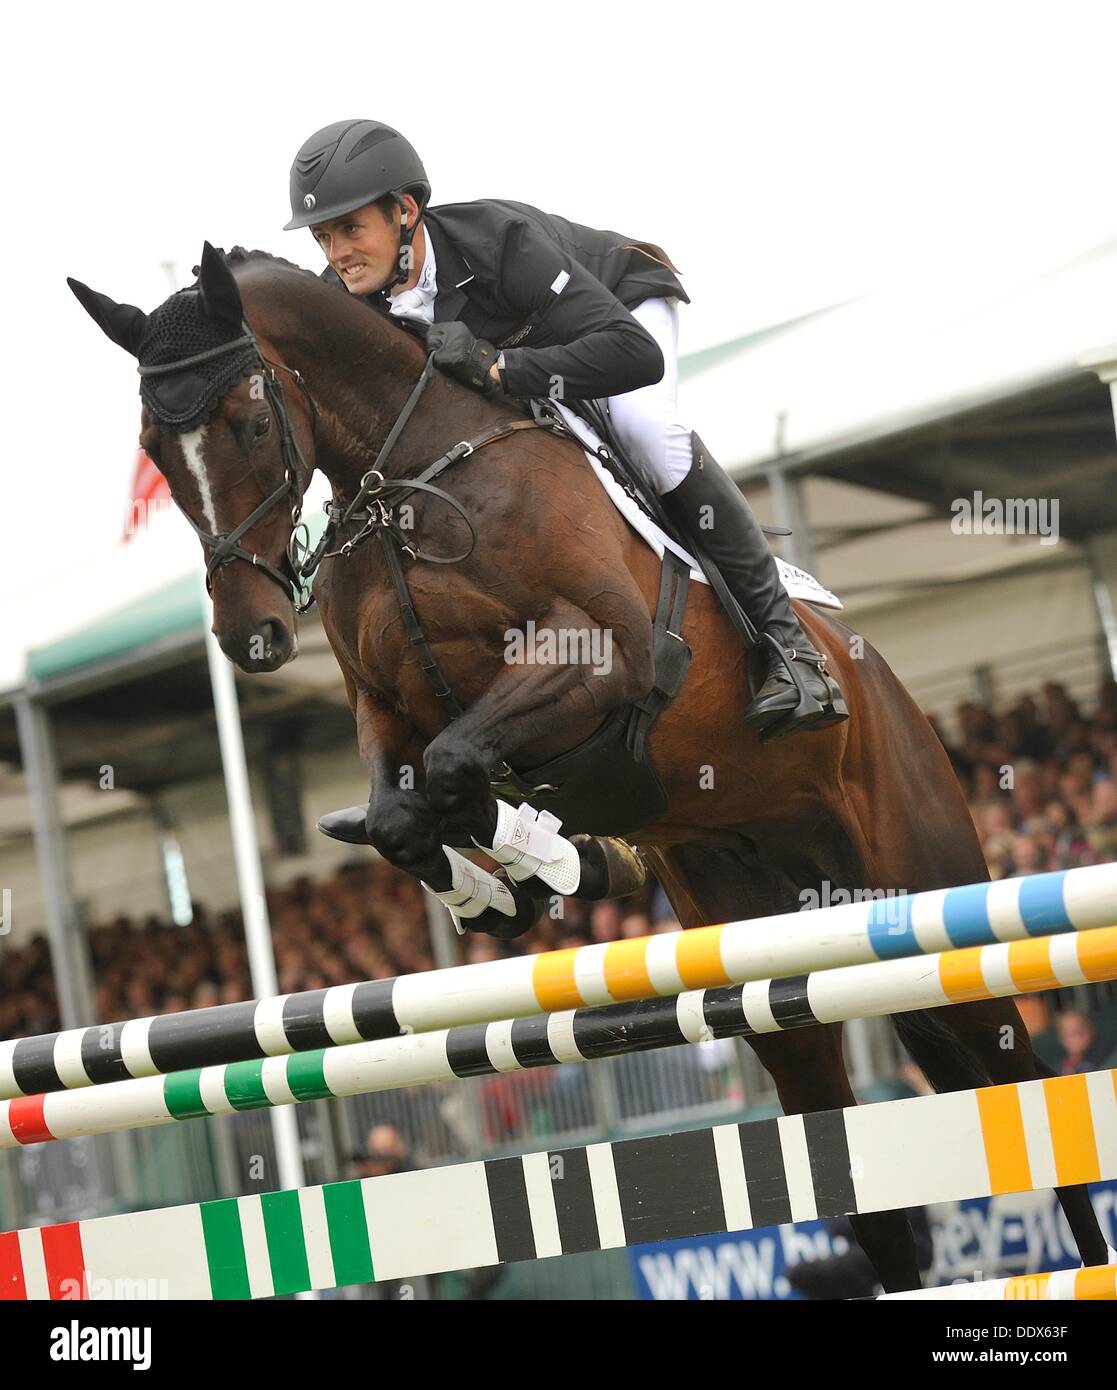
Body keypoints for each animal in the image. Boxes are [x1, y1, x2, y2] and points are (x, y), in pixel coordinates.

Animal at [67, 247, 1105, 1289]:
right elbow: (412, 808)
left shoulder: (601, 662)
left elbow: (457, 765)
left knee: (1018, 1078)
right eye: (157, 449)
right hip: (759, 945)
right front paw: (516, 883)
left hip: (925, 895)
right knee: (834, 1128)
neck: (407, 481)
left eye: (249, 421)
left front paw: (547, 859)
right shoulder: (385, 707)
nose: (252, 638)